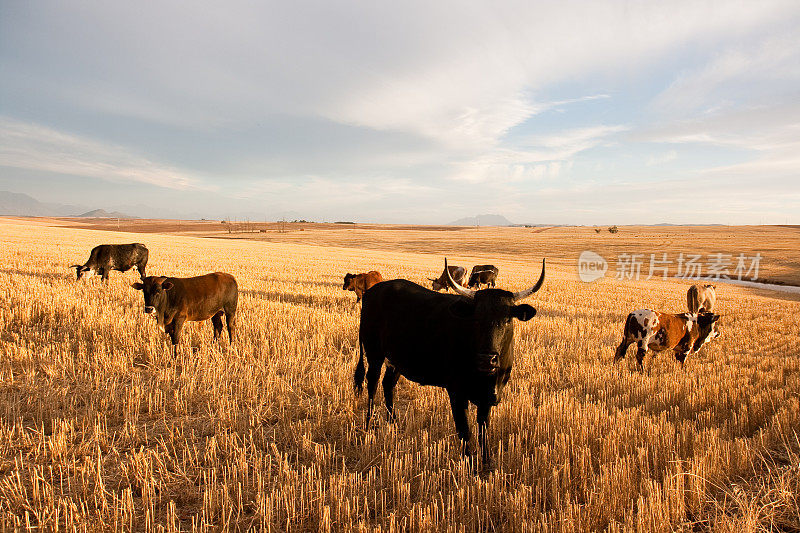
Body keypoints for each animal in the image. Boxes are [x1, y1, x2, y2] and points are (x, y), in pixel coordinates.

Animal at [354, 258, 548, 470]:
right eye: (476, 318)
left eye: (507, 319)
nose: (486, 359)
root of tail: (374, 290)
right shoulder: (456, 391)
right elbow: (465, 431)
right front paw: (470, 467)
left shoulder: (488, 396)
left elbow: (484, 430)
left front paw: (487, 464)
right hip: (374, 353)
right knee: (372, 384)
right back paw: (369, 424)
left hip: (396, 359)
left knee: (388, 385)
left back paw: (393, 424)